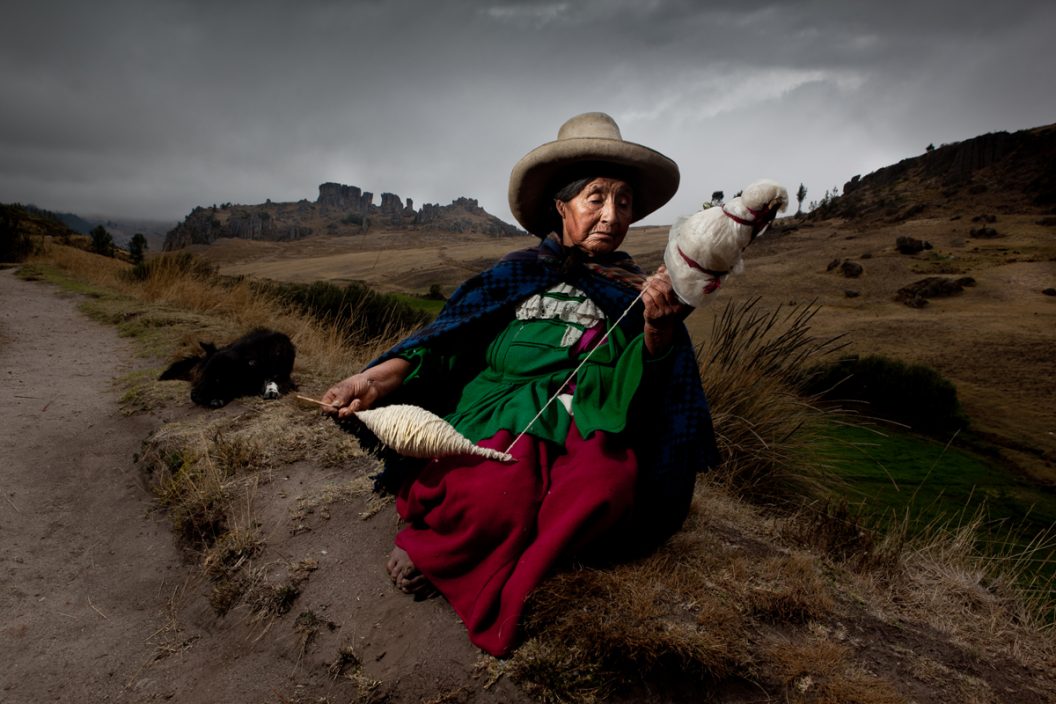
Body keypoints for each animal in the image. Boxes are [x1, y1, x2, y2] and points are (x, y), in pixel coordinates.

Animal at [158, 329, 295, 409]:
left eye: (219, 379)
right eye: (205, 375)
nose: (193, 396)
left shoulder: (284, 377)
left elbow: (274, 381)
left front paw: (271, 390)